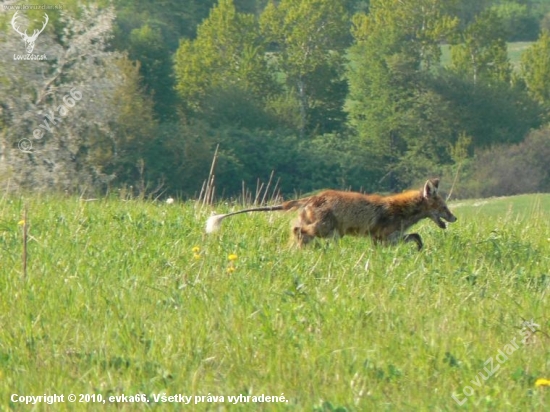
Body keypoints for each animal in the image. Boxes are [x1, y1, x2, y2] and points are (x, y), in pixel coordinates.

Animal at [206, 179, 458, 249]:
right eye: (444, 208)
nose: (455, 218)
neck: (402, 211)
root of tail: (312, 197)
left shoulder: (382, 239)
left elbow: (416, 237)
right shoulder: (387, 237)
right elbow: (416, 237)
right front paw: (420, 250)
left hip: (328, 232)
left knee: (297, 235)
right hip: (325, 229)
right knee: (297, 230)